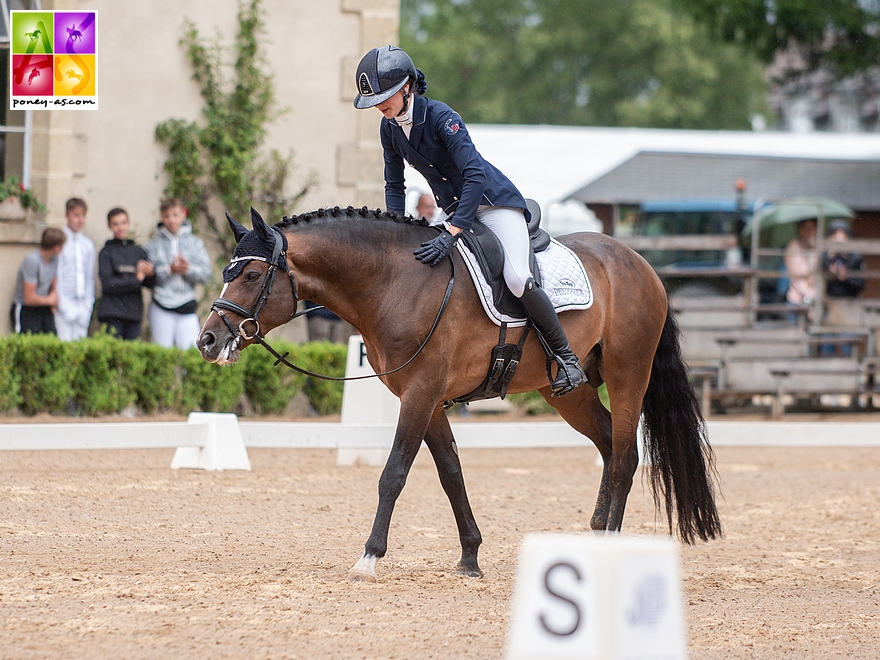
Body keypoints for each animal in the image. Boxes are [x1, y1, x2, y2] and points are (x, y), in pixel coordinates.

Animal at [199, 208, 720, 584]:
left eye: (250, 277)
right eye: (228, 272)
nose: (207, 341)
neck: (395, 281)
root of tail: (639, 262)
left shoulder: (421, 392)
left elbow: (393, 474)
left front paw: (368, 559)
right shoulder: (425, 398)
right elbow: (451, 473)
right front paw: (470, 556)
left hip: (628, 373)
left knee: (627, 455)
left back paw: (610, 544)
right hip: (566, 393)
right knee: (611, 447)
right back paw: (594, 536)